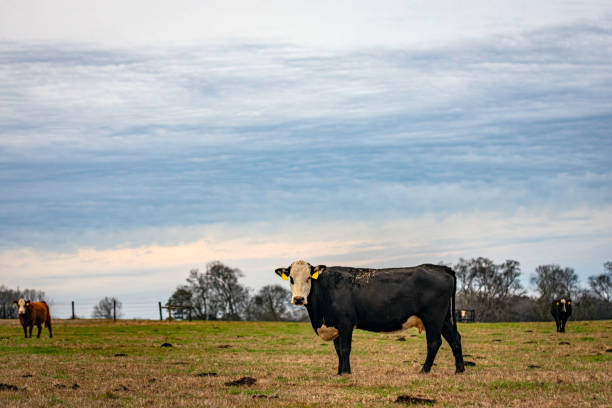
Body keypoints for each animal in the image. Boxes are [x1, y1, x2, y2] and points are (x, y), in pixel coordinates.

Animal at [274, 260, 464, 374]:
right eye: (291, 278)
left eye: (308, 278)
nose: (299, 299)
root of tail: (441, 268)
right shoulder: (335, 326)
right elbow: (338, 351)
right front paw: (339, 372)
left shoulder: (346, 323)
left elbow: (345, 349)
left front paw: (346, 373)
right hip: (444, 319)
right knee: (455, 339)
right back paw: (459, 370)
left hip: (433, 318)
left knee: (434, 342)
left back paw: (424, 370)